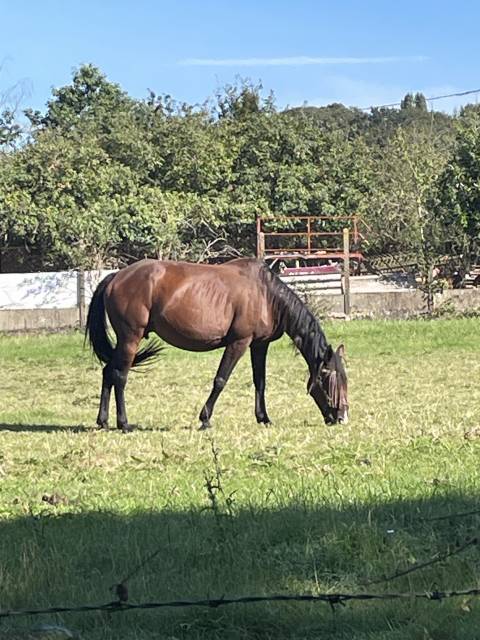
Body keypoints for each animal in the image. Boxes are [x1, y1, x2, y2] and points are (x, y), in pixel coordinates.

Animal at [85, 258, 348, 432]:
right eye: (327, 377)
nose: (342, 417)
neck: (265, 295)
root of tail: (116, 277)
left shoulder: (259, 346)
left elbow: (260, 382)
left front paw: (263, 418)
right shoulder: (239, 343)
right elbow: (221, 380)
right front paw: (205, 419)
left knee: (108, 372)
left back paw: (103, 421)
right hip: (130, 338)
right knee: (120, 376)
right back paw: (124, 423)